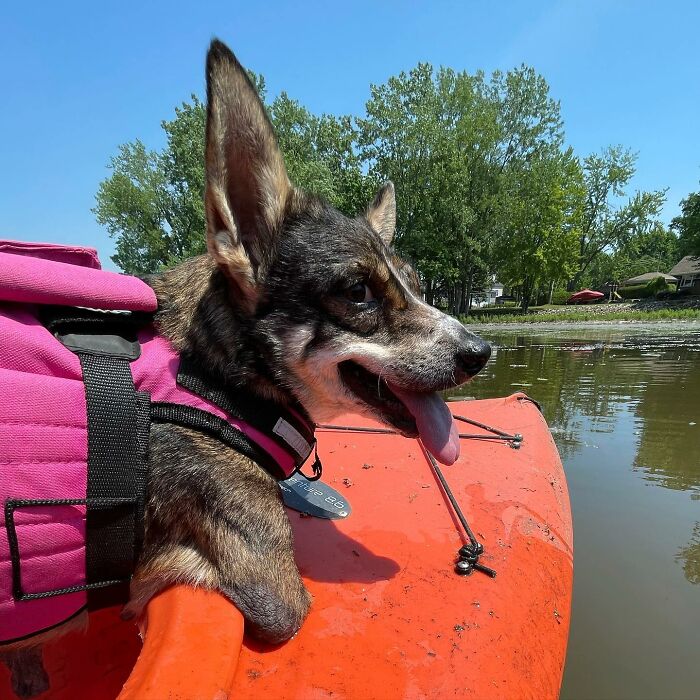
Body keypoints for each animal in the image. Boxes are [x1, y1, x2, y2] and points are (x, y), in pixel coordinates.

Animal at [2, 41, 490, 696]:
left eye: (415, 284)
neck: (210, 375)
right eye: (358, 292)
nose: (479, 352)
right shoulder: (269, 587)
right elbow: (257, 599)